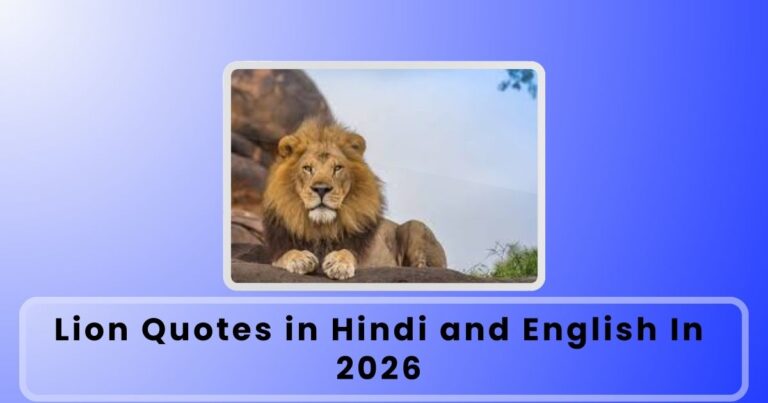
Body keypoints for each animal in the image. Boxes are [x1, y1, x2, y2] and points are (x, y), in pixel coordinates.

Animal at [262, 118, 447, 280]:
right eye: (307, 168)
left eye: (337, 168)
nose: (321, 189)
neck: (321, 227)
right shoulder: (277, 252)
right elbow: (284, 255)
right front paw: (299, 258)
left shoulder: (366, 259)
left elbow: (348, 252)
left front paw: (339, 264)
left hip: (416, 226)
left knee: (424, 267)